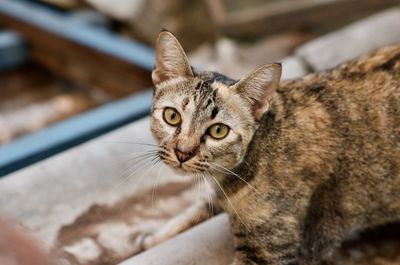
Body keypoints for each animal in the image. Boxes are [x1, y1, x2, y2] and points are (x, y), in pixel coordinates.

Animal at [137, 29, 396, 262]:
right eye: (172, 116)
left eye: (218, 131)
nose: (183, 152)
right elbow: (201, 206)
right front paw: (155, 237)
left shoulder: (266, 249)